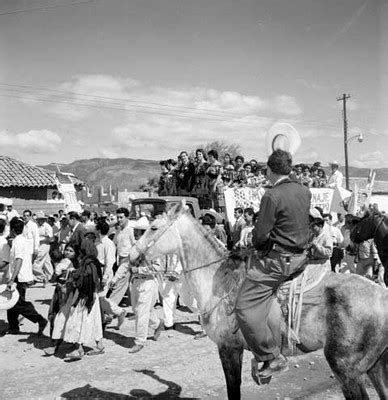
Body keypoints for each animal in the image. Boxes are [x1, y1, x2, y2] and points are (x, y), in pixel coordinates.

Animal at [130, 205, 388, 398]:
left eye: (153, 227)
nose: (131, 256)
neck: (218, 280)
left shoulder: (228, 348)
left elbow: (233, 389)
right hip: (374, 365)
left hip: (347, 369)